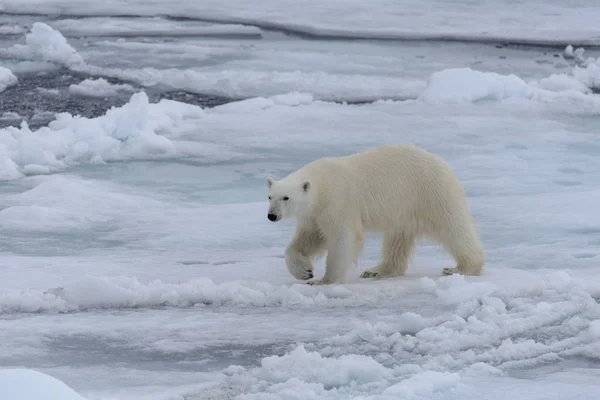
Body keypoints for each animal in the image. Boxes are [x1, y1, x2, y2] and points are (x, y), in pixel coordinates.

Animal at [264, 145, 486, 286]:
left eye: (286, 197)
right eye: (270, 196)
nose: (272, 216)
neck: (323, 183)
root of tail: (443, 164)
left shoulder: (338, 202)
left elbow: (343, 238)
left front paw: (324, 280)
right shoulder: (313, 214)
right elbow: (308, 239)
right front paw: (304, 271)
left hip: (430, 193)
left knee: (453, 227)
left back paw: (462, 268)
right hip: (403, 208)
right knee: (396, 239)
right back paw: (377, 270)